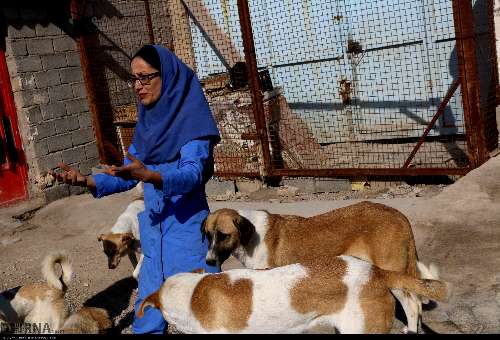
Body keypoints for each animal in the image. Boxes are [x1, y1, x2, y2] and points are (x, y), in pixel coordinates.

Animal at [201, 201, 440, 334]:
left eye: (223, 235)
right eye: (208, 235)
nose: (209, 262)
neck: (250, 235)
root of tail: (398, 215)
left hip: (393, 274)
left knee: (413, 305)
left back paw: (412, 329)